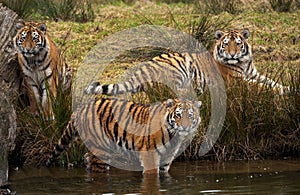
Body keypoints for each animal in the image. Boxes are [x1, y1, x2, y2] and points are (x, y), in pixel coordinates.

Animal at [45, 97, 202, 174]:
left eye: (190, 115)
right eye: (178, 115)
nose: (185, 126)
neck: (174, 136)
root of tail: (80, 109)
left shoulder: (167, 158)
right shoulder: (149, 154)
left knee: (86, 157)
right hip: (101, 150)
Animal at [84, 28, 288, 96]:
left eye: (238, 44)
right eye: (226, 44)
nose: (231, 54)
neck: (244, 63)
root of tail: (144, 67)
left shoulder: (255, 74)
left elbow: (271, 82)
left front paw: (287, 88)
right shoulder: (237, 82)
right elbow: (260, 87)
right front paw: (281, 91)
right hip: (178, 66)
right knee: (170, 90)